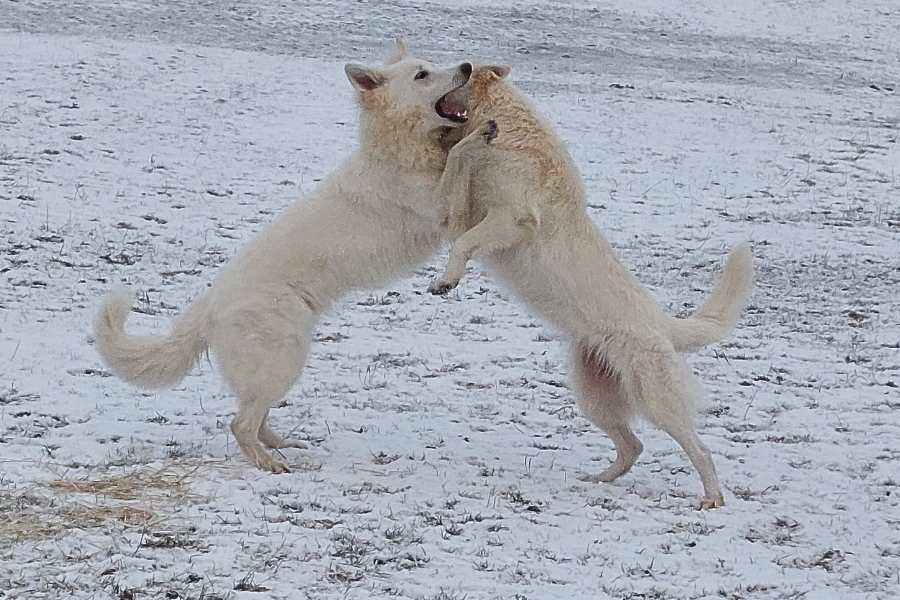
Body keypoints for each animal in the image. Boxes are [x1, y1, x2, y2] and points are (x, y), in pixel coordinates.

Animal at [97, 43, 474, 474]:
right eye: (421, 75)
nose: (468, 66)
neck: (396, 151)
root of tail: (209, 304)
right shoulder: (442, 209)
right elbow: (461, 156)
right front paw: (484, 132)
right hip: (284, 357)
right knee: (241, 423)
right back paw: (270, 464)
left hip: (280, 363)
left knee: (256, 416)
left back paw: (282, 446)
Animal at [428, 64, 752, 506]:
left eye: (462, 71)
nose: (457, 68)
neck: (509, 128)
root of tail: (664, 327)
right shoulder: (464, 215)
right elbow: (459, 178)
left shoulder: (511, 218)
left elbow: (464, 236)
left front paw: (446, 281)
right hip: (594, 397)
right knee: (633, 446)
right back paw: (598, 480)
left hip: (655, 400)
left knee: (699, 449)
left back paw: (712, 498)